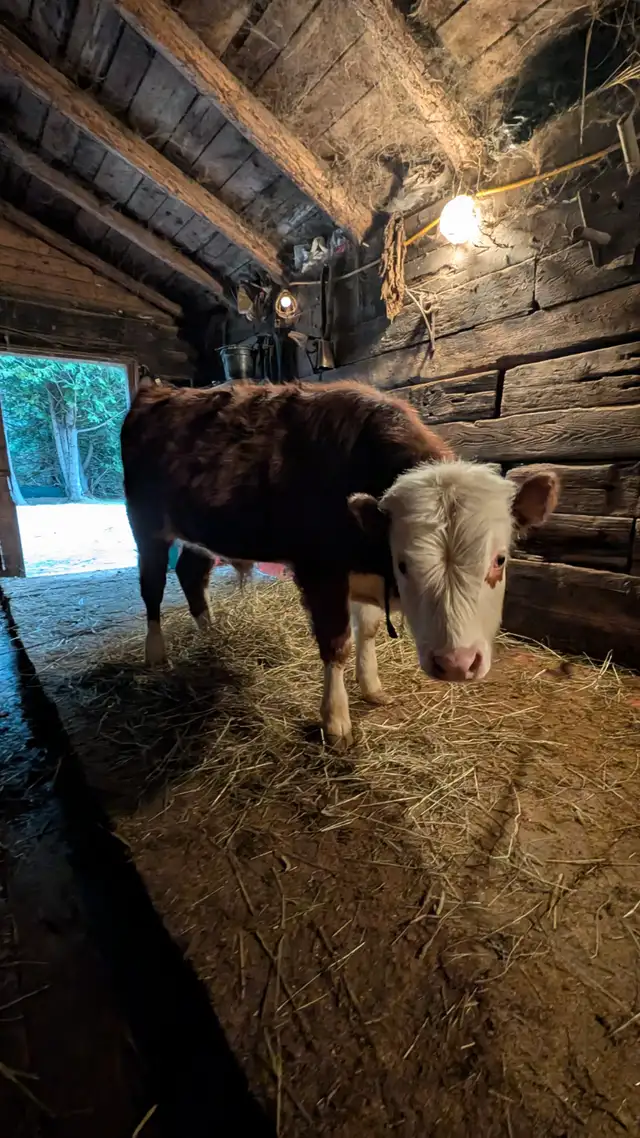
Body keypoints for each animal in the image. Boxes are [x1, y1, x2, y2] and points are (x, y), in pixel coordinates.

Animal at [121, 378, 558, 747]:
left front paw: (372, 687)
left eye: (499, 559)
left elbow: (367, 631)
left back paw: (212, 636)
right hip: (145, 523)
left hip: (198, 531)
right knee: (152, 586)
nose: (455, 664)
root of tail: (158, 390)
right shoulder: (321, 570)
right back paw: (156, 655)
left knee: (190, 574)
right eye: (403, 564)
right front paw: (336, 721)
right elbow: (336, 644)